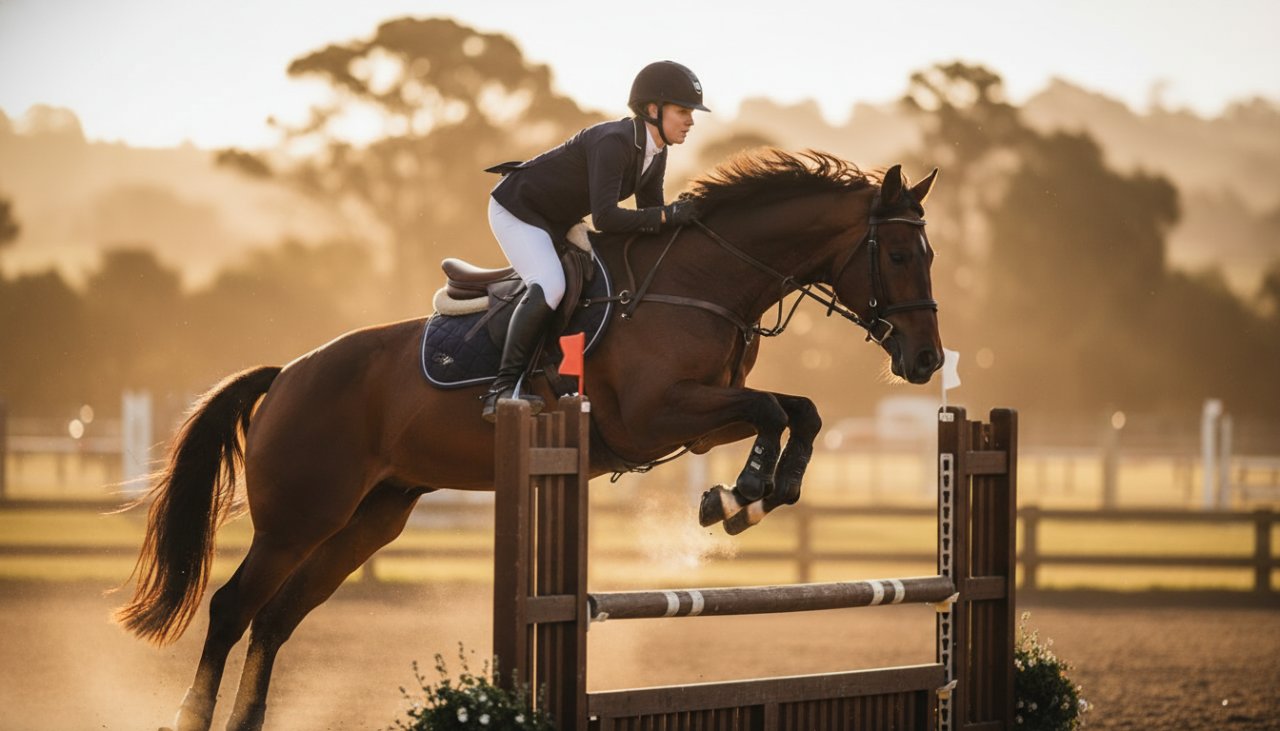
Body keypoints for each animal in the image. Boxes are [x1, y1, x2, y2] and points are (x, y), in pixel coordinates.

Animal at [116, 149, 942, 730]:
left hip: (369, 518)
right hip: (299, 518)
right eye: (901, 255)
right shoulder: (654, 414)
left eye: (927, 256)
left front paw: (760, 492)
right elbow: (775, 409)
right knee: (233, 607)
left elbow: (796, 409)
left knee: (277, 617)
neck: (702, 281)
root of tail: (286, 373)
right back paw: (192, 716)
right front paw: (738, 497)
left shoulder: (705, 414)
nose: (927, 360)